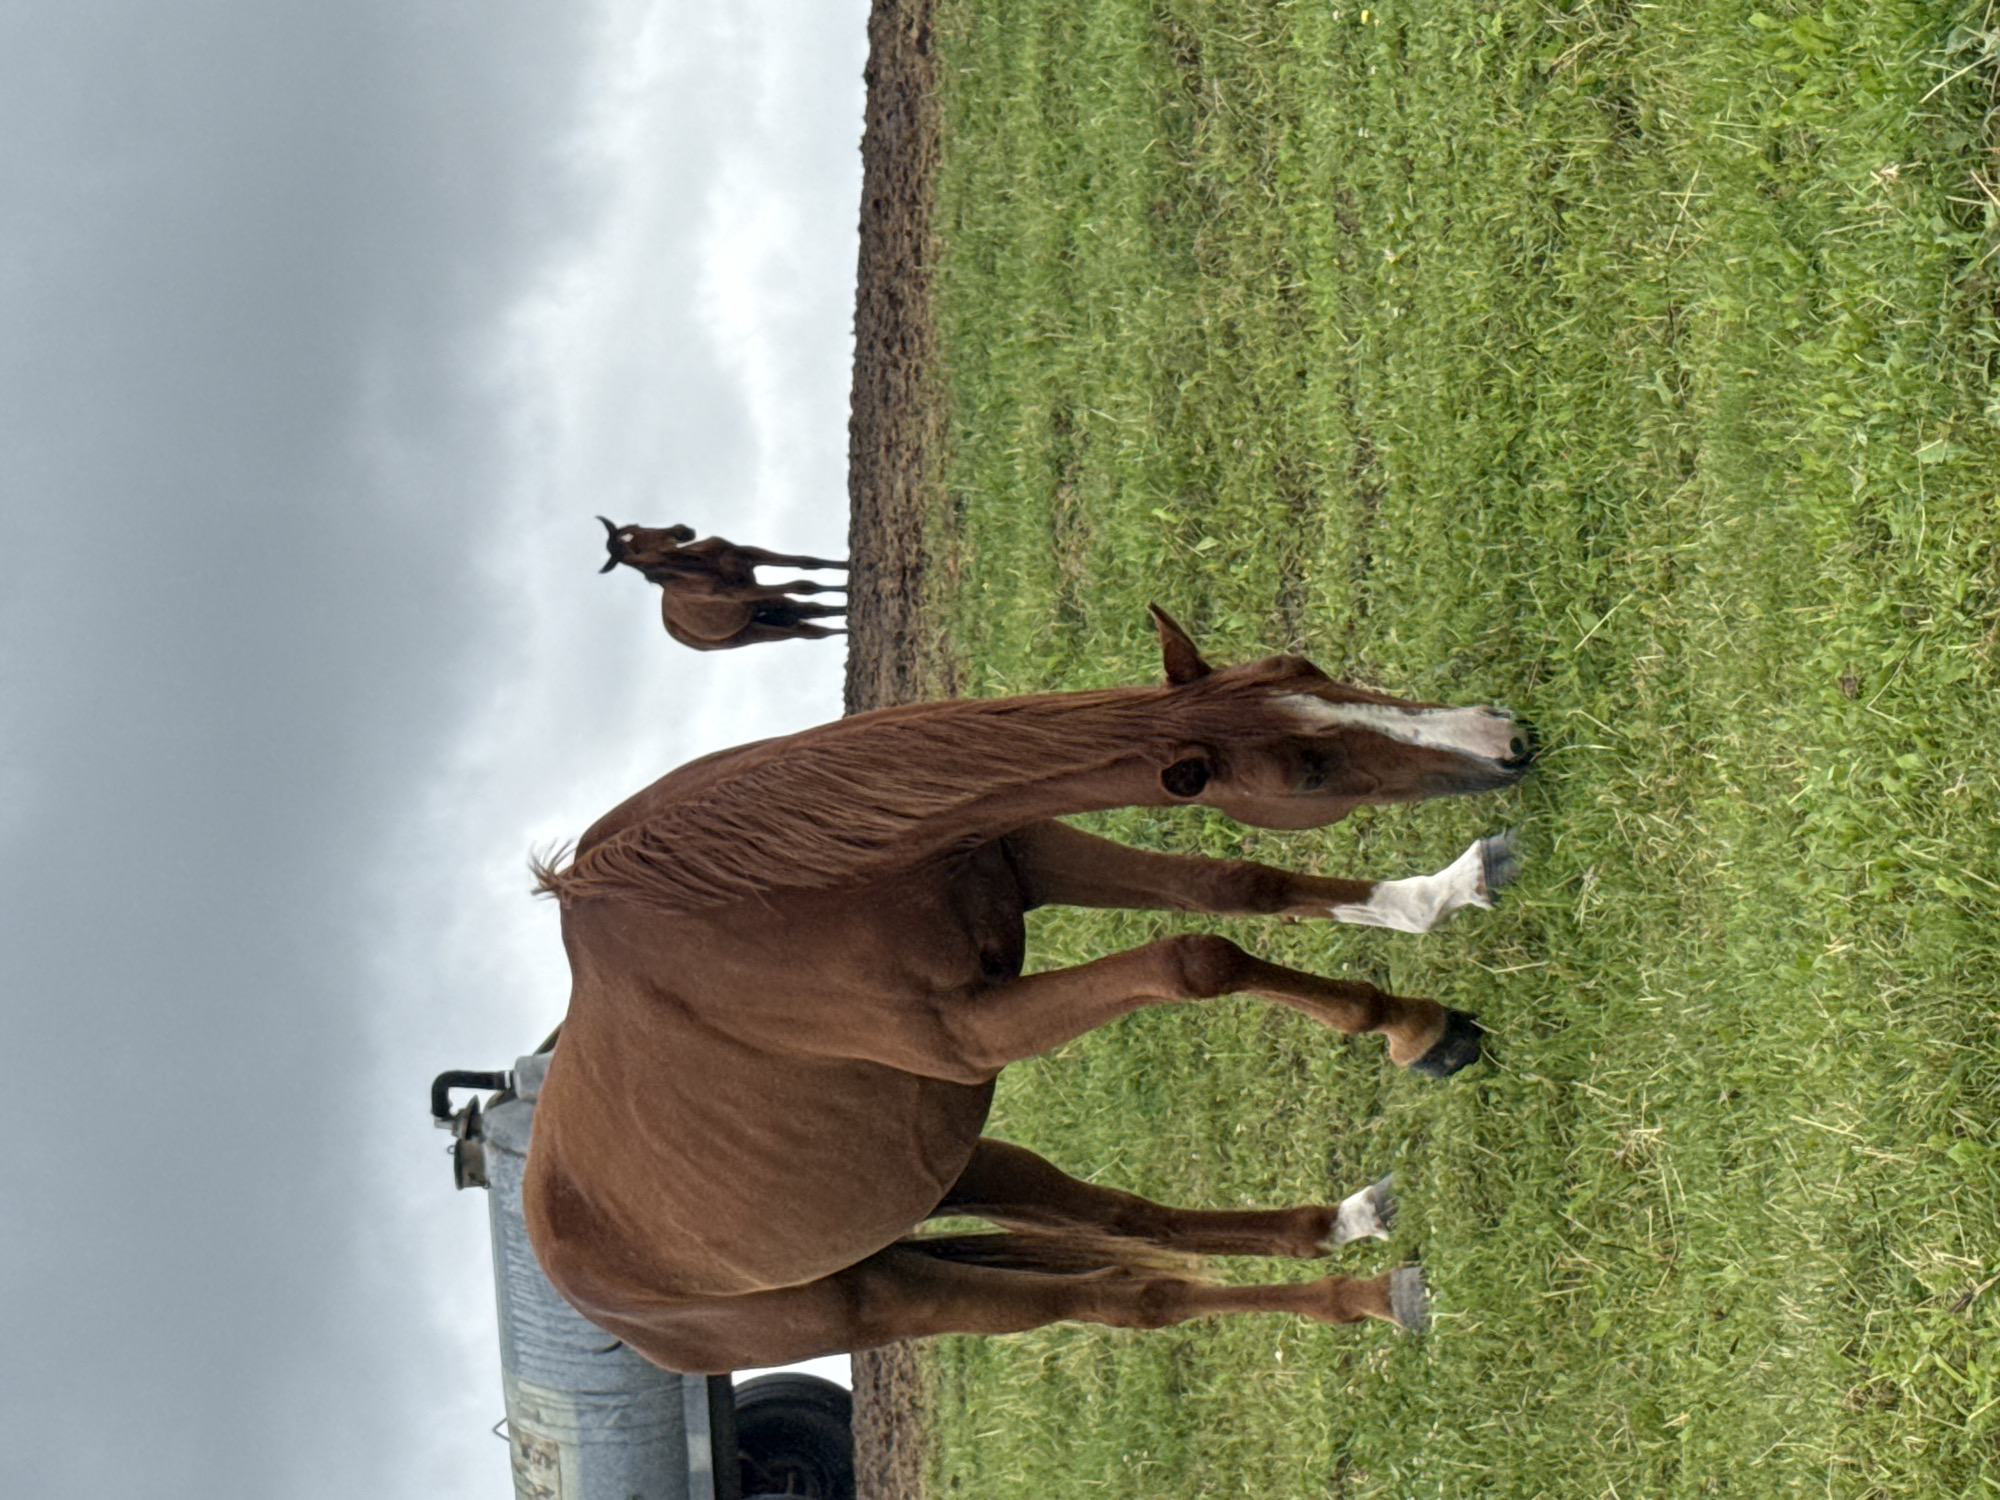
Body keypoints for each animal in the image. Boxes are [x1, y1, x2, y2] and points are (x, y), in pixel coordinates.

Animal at [523, 606, 1533, 1374]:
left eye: (1307, 668)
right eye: (1309, 772)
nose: (1506, 740)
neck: (778, 884)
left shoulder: (1026, 852)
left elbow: (1237, 883)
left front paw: (1440, 916)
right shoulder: (971, 1031)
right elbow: (1195, 959)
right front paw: (1409, 1025)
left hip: (963, 1168)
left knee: (1137, 1225)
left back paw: (1343, 1228)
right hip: (889, 1298)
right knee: (1139, 1301)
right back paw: (1368, 1292)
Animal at [598, 518, 849, 650]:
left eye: (634, 528)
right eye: (631, 541)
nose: (683, 530)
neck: (701, 566)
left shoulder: (749, 556)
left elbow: (808, 564)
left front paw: (849, 568)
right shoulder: (746, 591)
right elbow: (804, 586)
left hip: (767, 606)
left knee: (808, 614)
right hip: (753, 632)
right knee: (810, 629)